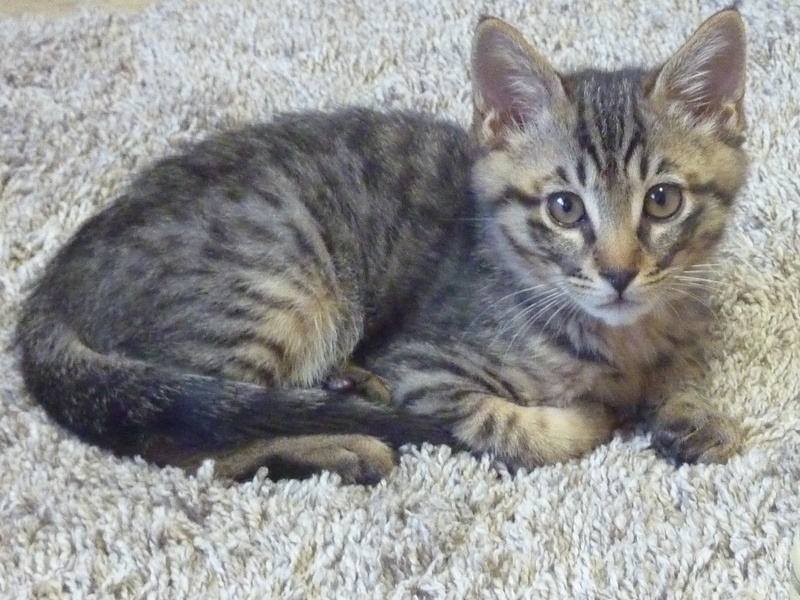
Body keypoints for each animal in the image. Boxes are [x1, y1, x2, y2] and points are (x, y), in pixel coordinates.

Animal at [16, 8, 748, 484]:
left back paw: (348, 388)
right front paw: (596, 415)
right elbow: (516, 429)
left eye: (662, 200)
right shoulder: (425, 366)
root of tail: (54, 285)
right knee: (190, 438)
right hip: (280, 287)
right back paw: (345, 447)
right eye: (565, 208)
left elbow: (685, 364)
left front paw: (688, 411)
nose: (620, 273)